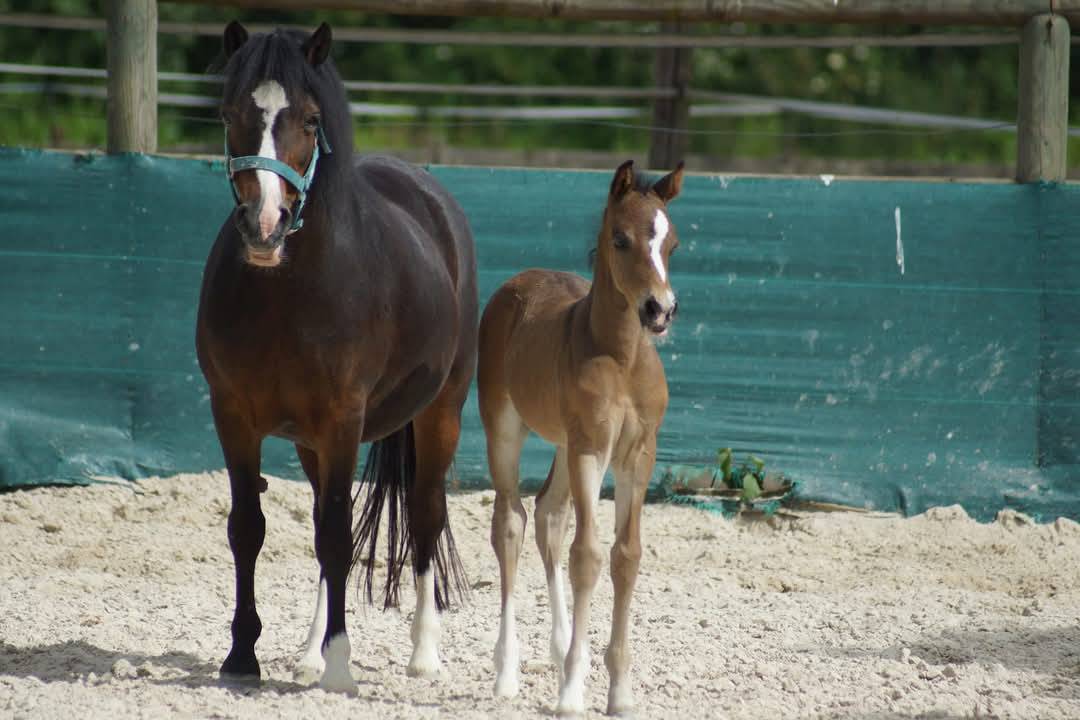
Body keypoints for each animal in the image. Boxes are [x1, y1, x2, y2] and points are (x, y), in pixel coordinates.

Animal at [195, 21, 477, 695]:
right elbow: (250, 529)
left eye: (310, 118)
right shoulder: (234, 415)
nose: (264, 224)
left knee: (424, 516)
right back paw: (309, 651)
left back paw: (423, 653)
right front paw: (242, 655)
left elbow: (338, 536)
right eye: (229, 113)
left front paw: (343, 665)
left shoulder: (343, 419)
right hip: (310, 442)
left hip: (441, 413)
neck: (287, 291)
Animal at [478, 160, 683, 715]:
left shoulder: (638, 454)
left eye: (672, 243)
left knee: (550, 514)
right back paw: (507, 671)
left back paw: (561, 646)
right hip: (506, 426)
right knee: (511, 521)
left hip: (564, 444)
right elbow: (588, 556)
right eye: (620, 239)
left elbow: (626, 556)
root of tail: (517, 283)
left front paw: (619, 691)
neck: (623, 358)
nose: (660, 310)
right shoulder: (592, 447)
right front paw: (571, 691)